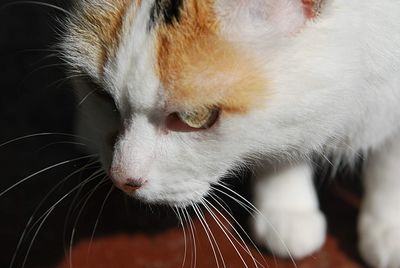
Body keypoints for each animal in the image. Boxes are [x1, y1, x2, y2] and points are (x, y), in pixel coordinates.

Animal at [61, 1, 400, 266]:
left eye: (195, 117)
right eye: (100, 93)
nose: (121, 178)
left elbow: (389, 164)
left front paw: (389, 229)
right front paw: (287, 206)